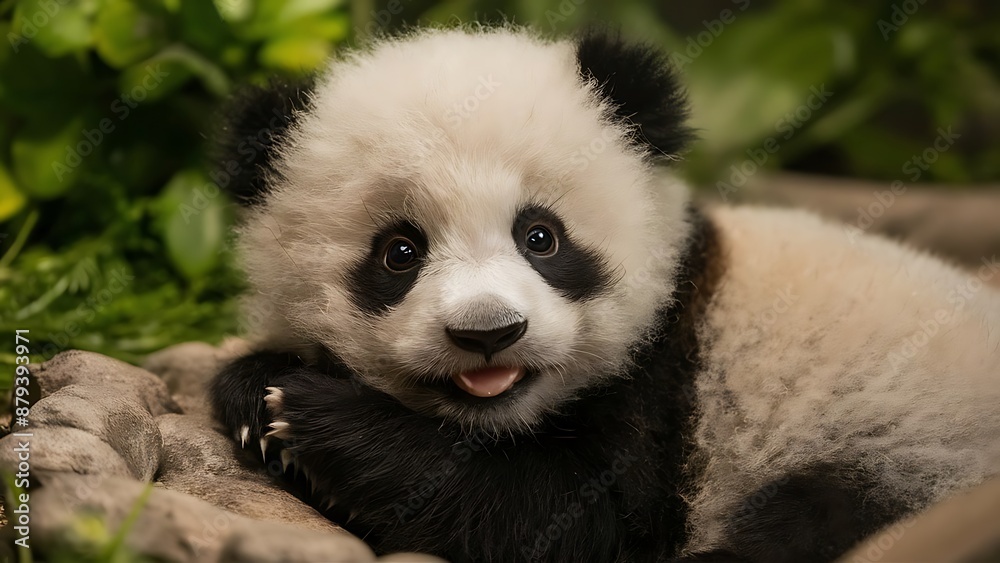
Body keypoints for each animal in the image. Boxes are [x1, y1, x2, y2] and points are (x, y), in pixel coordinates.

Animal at [209, 26, 1000, 563]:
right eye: (399, 253)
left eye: (541, 237)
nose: (489, 332)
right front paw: (258, 389)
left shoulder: (663, 390)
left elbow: (567, 519)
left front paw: (318, 416)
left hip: (907, 448)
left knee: (815, 518)